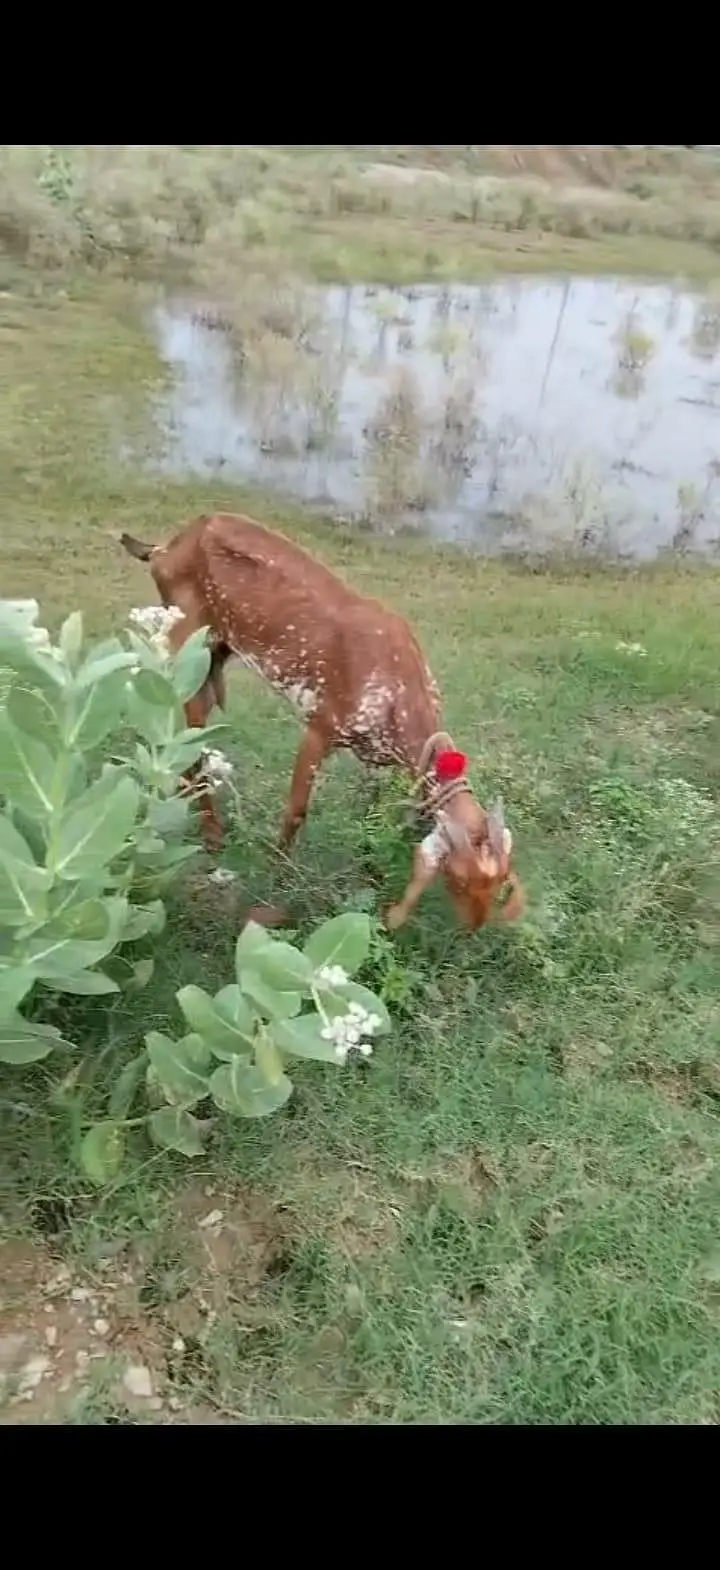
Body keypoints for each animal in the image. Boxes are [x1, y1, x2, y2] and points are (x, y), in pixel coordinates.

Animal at [120, 513, 524, 932]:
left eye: (498, 883)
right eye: (458, 879)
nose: (474, 926)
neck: (399, 690)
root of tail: (165, 547)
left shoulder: (374, 757)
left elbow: (373, 816)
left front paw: (371, 872)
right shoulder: (322, 726)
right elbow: (296, 810)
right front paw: (277, 874)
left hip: (216, 654)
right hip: (187, 645)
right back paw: (212, 835)